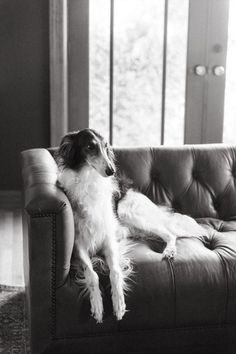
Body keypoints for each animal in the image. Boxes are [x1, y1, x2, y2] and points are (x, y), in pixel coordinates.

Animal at [55, 129, 206, 324]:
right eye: (90, 147)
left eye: (106, 146)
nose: (111, 170)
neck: (90, 181)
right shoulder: (79, 246)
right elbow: (92, 275)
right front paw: (97, 305)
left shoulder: (109, 242)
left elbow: (115, 272)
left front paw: (119, 303)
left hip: (129, 212)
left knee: (170, 233)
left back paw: (169, 251)